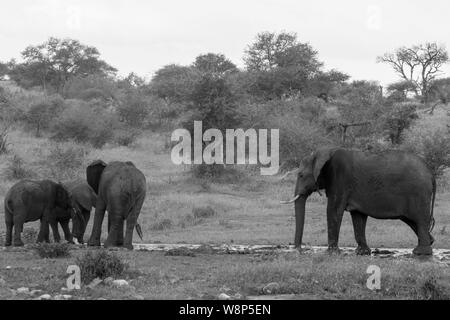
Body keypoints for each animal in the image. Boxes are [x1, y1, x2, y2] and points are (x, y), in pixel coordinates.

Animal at [282, 147, 436, 255]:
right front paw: (362, 253)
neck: (325, 152)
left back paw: (420, 252)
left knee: (419, 220)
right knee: (413, 221)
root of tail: (431, 173)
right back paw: (429, 243)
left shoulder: (340, 179)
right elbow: (358, 216)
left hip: (418, 194)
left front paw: (332, 253)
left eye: (301, 175)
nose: (300, 249)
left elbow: (333, 210)